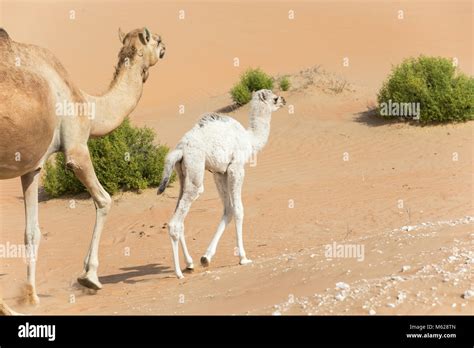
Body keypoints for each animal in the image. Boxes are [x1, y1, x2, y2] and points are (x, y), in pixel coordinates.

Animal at [159, 89, 286, 278]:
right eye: (274, 98)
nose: (284, 100)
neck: (250, 139)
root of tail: (180, 149)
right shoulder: (236, 168)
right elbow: (239, 210)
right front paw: (243, 258)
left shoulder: (219, 172)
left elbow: (228, 210)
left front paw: (206, 257)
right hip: (196, 169)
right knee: (176, 222)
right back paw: (178, 273)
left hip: (182, 173)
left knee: (180, 217)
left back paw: (189, 264)